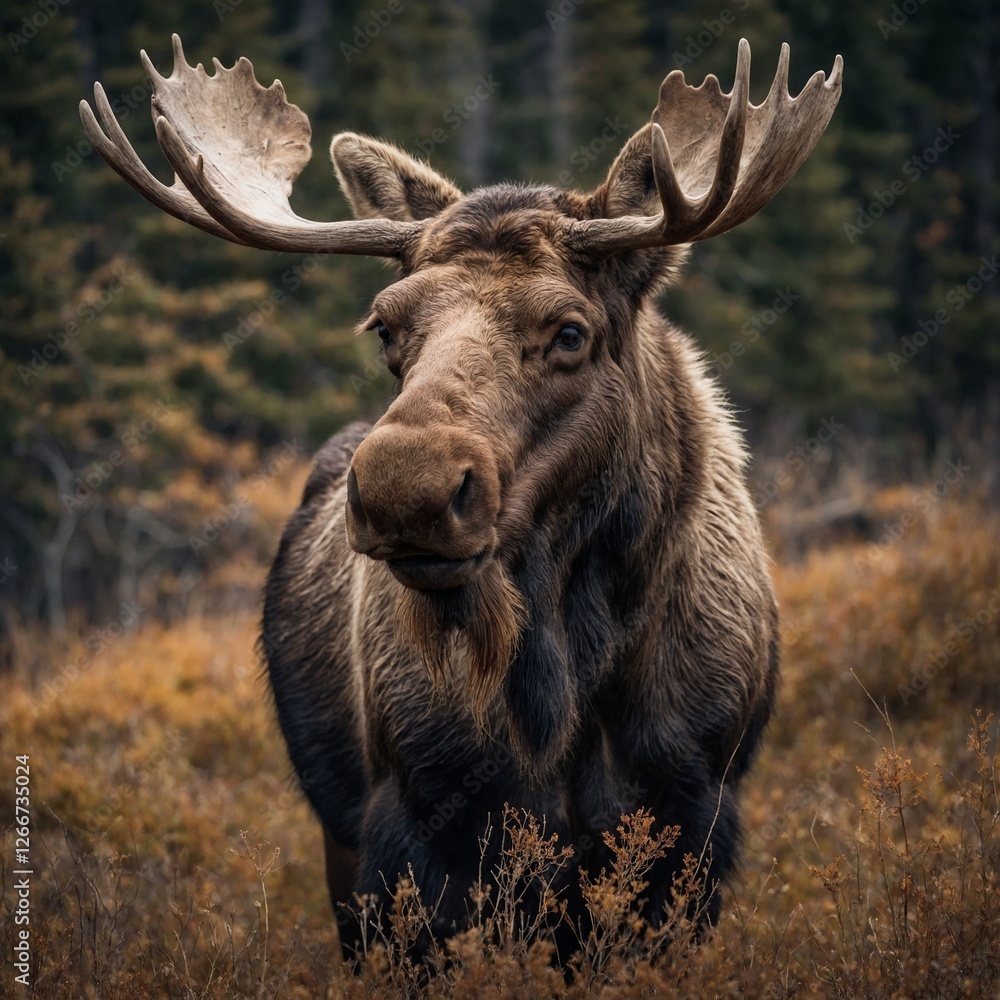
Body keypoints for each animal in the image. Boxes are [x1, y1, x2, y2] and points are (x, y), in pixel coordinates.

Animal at [81, 34, 842, 958]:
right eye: (385, 325)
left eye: (569, 331)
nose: (405, 486)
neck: (566, 674)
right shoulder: (406, 827)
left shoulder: (695, 815)